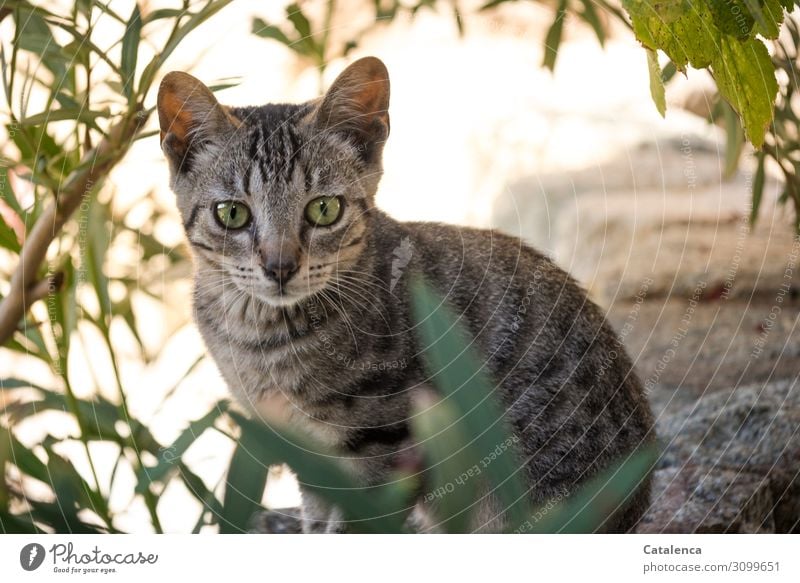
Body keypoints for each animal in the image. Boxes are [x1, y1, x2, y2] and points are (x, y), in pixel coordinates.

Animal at [158, 56, 656, 532]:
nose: (279, 266)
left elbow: (355, 529)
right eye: (232, 213)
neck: (260, 338)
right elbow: (318, 520)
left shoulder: (385, 441)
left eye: (324, 209)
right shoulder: (305, 451)